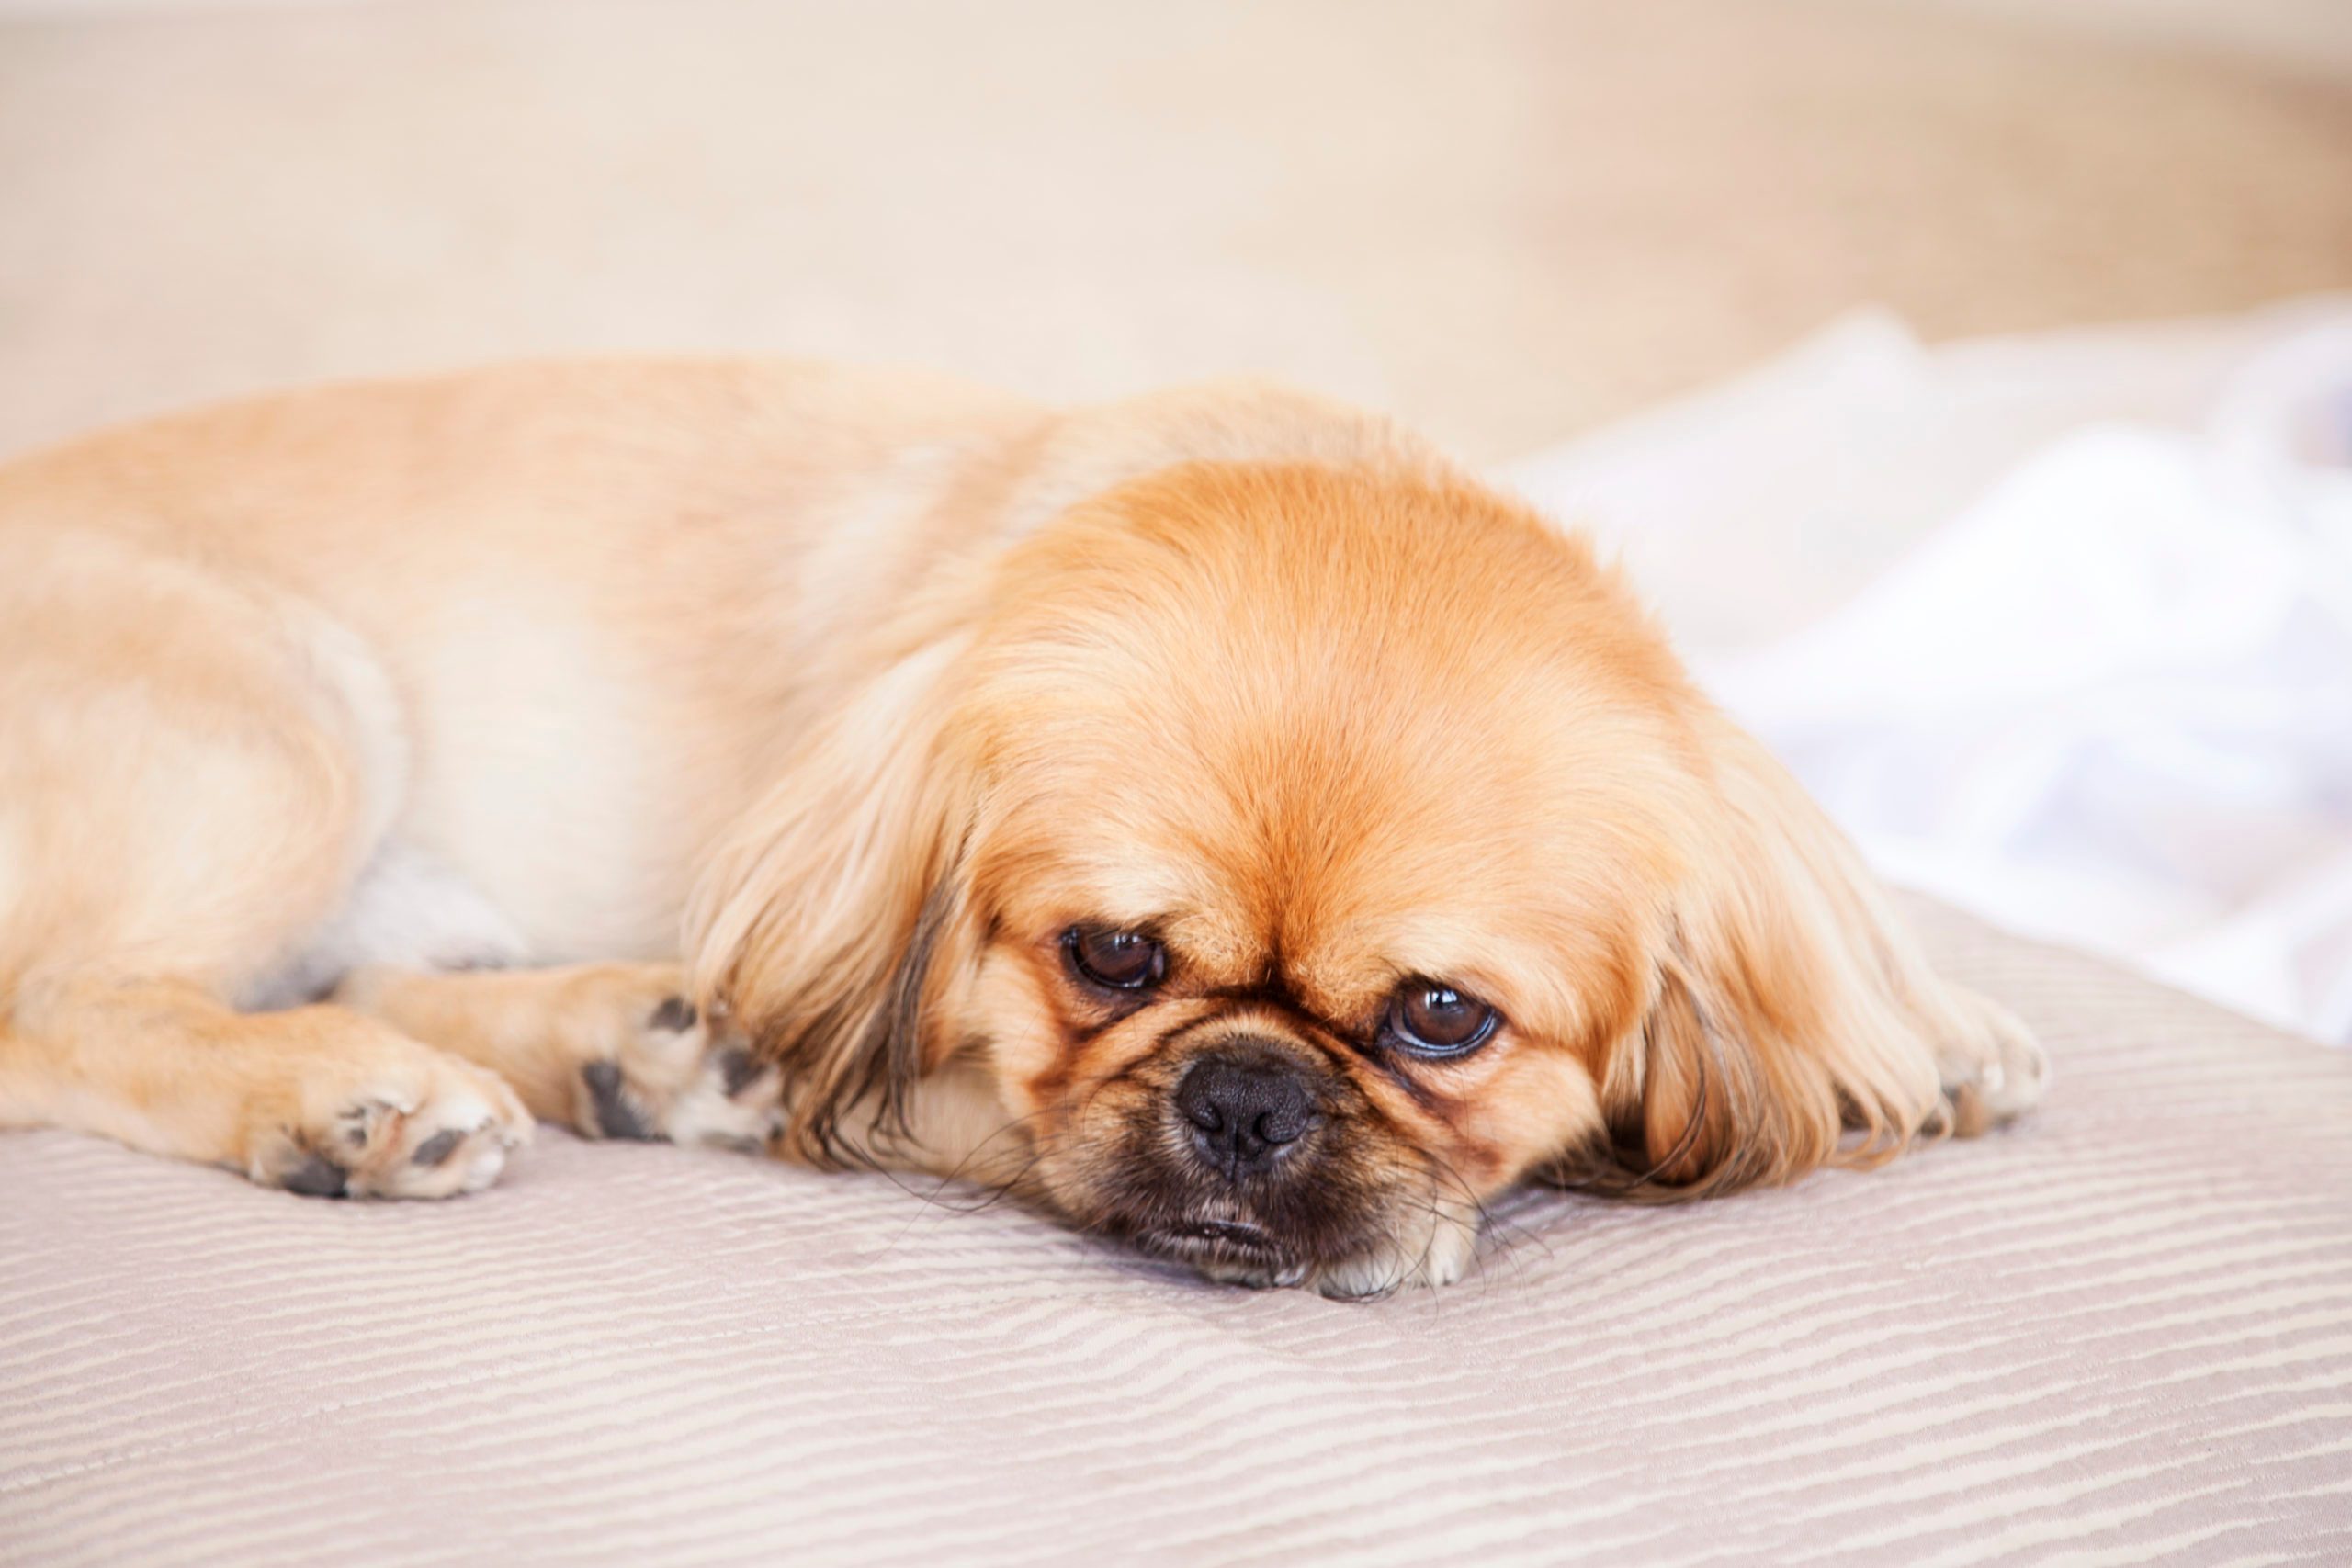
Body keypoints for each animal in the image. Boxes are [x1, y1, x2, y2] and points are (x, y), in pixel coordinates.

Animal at [0, 362, 2041, 1297]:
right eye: (1110, 957)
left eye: (1439, 1018)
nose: (1245, 1096)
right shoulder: (948, 1092)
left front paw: (1925, 1030)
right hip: (284, 721)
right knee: (74, 1012)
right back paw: (340, 1099)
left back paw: (622, 1048)